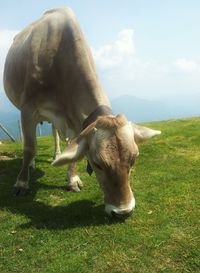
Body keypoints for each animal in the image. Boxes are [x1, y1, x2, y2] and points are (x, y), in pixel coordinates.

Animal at [3, 7, 161, 218]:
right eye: (98, 163)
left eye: (133, 160)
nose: (123, 211)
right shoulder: (29, 109)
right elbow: (29, 147)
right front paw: (21, 184)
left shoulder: (73, 119)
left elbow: (73, 148)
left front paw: (73, 179)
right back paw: (30, 165)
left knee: (55, 133)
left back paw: (56, 155)